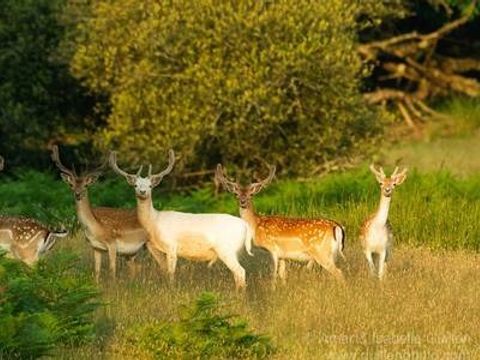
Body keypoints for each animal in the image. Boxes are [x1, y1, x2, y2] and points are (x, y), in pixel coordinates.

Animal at [50, 146, 148, 282]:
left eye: (86, 185)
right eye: (71, 185)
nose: (78, 194)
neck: (96, 228)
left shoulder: (112, 244)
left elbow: (112, 271)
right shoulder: (96, 247)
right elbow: (96, 271)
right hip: (133, 253)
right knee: (137, 267)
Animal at [110, 150, 253, 292]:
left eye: (150, 186)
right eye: (135, 185)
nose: (142, 191)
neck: (154, 223)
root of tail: (245, 226)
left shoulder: (171, 245)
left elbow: (171, 273)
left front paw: (171, 290)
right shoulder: (153, 247)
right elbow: (164, 271)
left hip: (226, 249)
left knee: (240, 271)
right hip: (234, 251)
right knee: (238, 274)